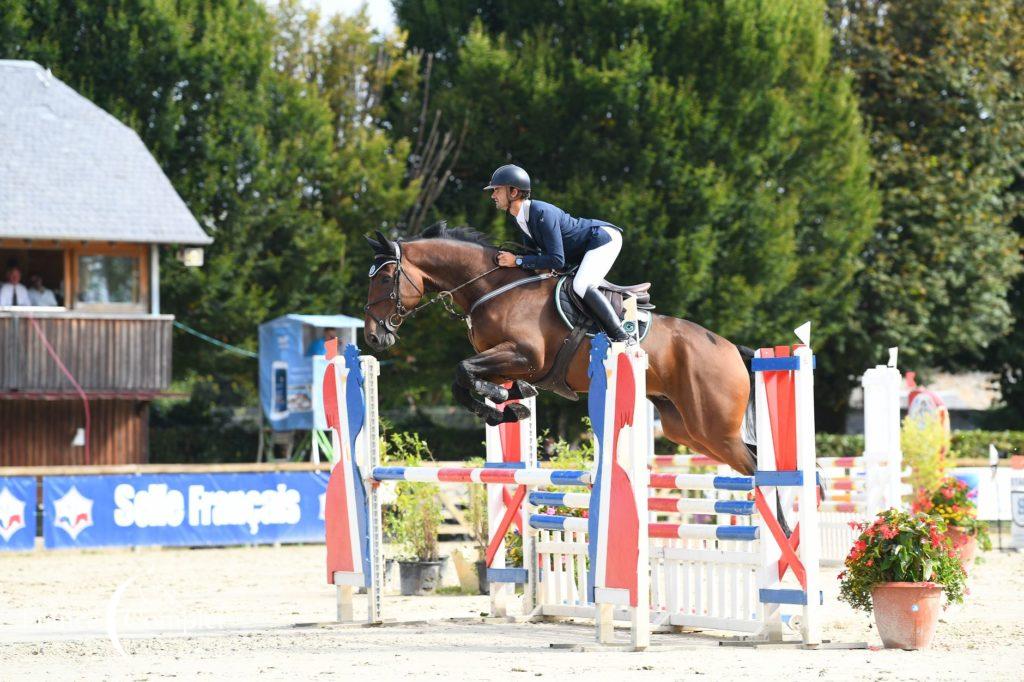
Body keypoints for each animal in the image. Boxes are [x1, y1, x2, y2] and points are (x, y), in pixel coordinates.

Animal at [364, 223, 757, 473]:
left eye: (384, 278)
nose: (372, 338)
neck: (492, 287)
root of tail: (731, 350)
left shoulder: (525, 355)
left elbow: (463, 371)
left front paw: (504, 402)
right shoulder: (505, 361)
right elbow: (464, 381)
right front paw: (509, 406)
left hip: (714, 429)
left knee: (755, 466)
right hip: (687, 429)